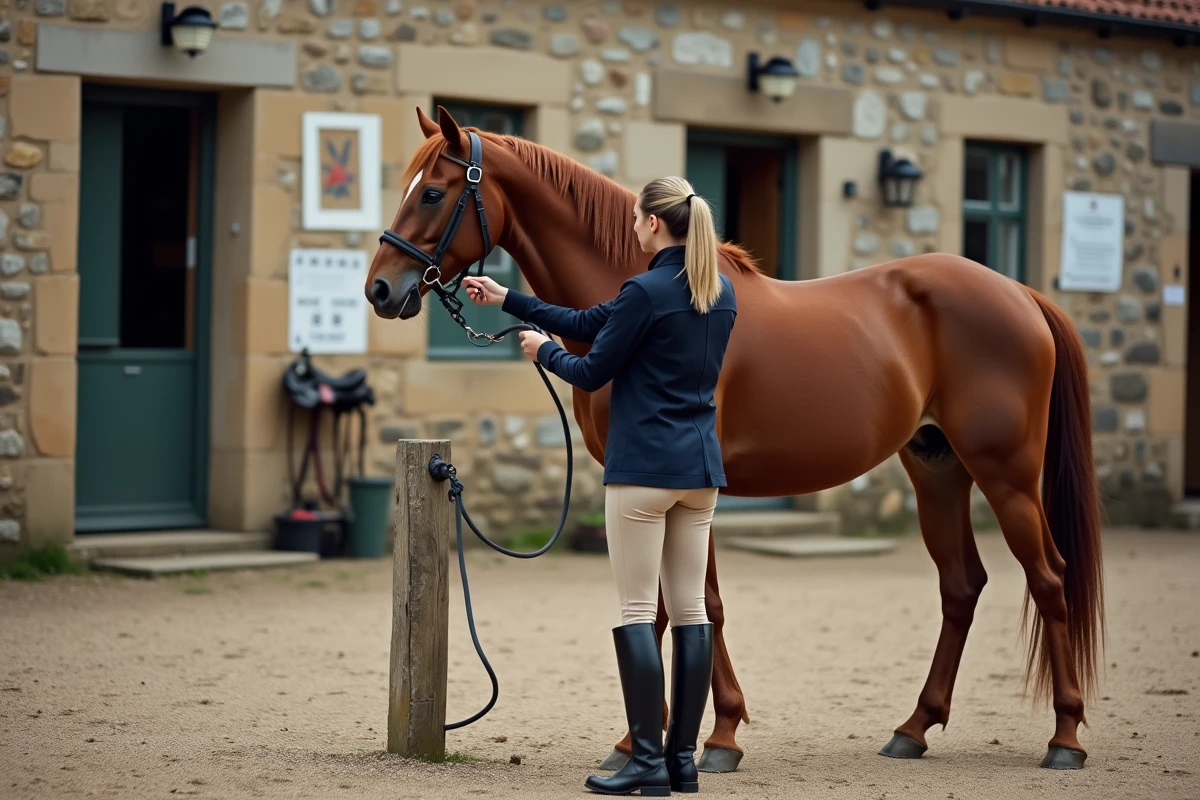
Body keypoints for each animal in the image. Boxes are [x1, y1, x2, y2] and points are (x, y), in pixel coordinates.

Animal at [365, 106, 1104, 773]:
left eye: (433, 192)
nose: (379, 289)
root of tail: (1021, 294)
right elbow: (673, 607)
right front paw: (658, 738)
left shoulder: (681, 485)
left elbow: (695, 606)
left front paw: (706, 738)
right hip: (937, 468)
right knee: (961, 585)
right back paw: (914, 728)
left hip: (1006, 474)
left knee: (1049, 578)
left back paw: (1066, 738)